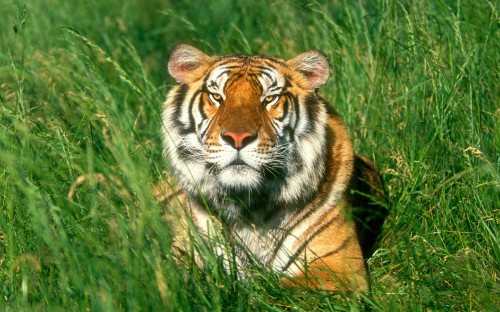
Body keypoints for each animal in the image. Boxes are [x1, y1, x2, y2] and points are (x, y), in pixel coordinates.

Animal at [160, 44, 386, 292]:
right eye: (217, 97)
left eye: (269, 98)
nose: (237, 138)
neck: (248, 205)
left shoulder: (337, 268)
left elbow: (274, 291)